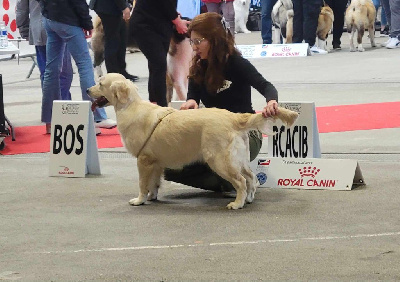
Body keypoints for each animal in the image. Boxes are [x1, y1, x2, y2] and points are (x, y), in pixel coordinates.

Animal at [88, 72, 300, 209]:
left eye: (100, 83)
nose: (88, 90)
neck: (130, 107)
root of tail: (234, 117)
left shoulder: (143, 159)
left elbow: (142, 183)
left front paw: (139, 200)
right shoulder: (155, 162)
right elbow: (154, 183)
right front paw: (152, 197)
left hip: (219, 160)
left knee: (240, 181)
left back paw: (237, 203)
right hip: (239, 159)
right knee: (251, 178)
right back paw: (248, 199)